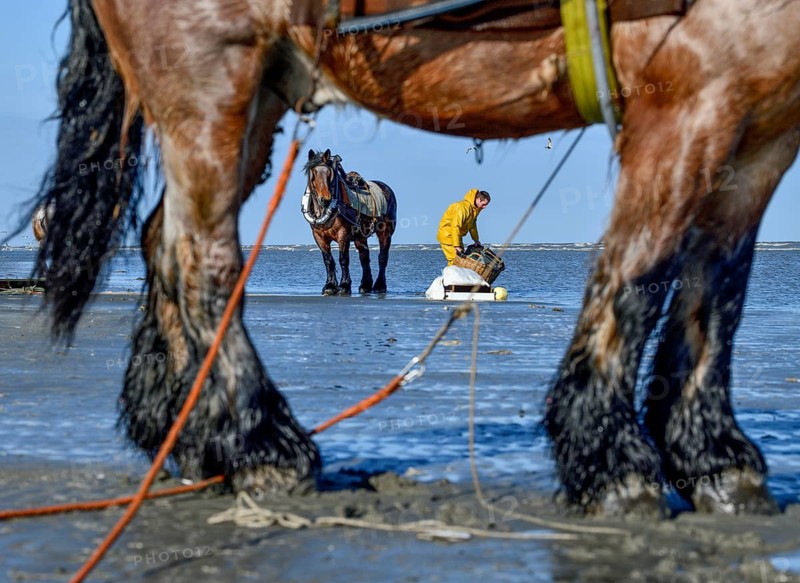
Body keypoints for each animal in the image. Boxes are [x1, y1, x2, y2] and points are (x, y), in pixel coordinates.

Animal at [302, 149, 397, 295]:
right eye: (313, 173)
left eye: (329, 173)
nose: (325, 199)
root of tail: (386, 188)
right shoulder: (318, 236)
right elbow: (328, 260)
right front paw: (330, 286)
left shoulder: (343, 234)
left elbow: (343, 259)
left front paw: (344, 285)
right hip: (360, 237)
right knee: (364, 257)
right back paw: (365, 285)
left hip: (385, 233)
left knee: (382, 257)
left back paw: (380, 286)